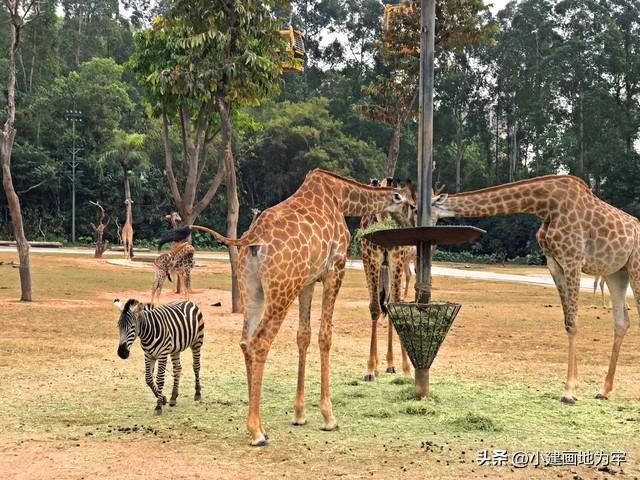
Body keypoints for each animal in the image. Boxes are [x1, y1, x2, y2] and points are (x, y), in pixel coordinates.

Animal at [360, 178, 416, 380]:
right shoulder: (372, 260)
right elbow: (375, 308)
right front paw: (370, 369)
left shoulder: (397, 259)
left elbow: (395, 304)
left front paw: (407, 368)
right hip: (372, 264)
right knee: (377, 302)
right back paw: (377, 367)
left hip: (390, 267)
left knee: (389, 301)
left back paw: (391, 364)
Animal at [430, 174, 640, 404]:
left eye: (417, 207)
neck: (545, 205)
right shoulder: (554, 262)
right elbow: (568, 323)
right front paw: (574, 386)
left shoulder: (573, 259)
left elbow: (574, 322)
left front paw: (568, 392)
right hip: (616, 272)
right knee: (621, 322)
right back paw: (604, 390)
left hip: (635, 267)